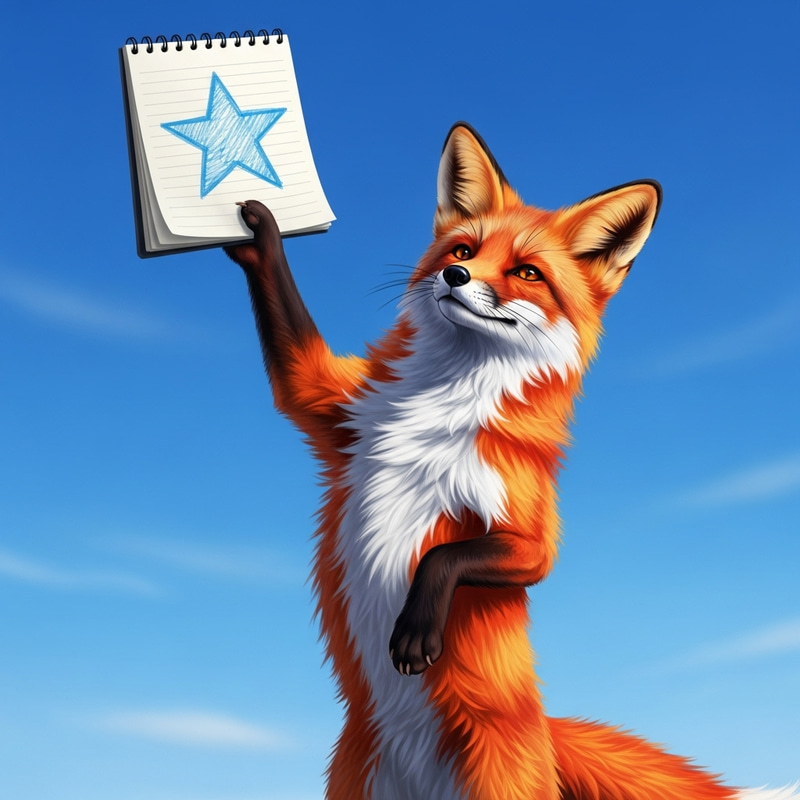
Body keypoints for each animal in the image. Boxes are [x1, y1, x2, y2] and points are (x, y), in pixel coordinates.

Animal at [224, 123, 798, 800]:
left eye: (527, 272)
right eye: (464, 248)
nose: (454, 274)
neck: (442, 405)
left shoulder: (527, 521)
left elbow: (450, 555)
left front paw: (416, 627)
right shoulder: (341, 412)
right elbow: (297, 367)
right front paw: (256, 230)